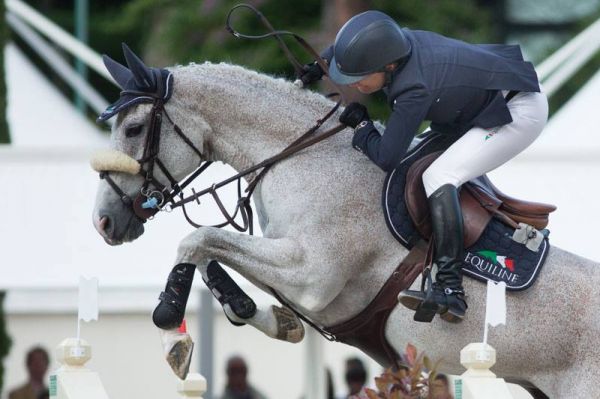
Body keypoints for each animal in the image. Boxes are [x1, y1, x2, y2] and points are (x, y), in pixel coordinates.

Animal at [91, 54, 596, 398]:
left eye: (133, 129)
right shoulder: (291, 265)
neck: (300, 156)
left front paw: (171, 332)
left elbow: (197, 239)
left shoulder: (311, 274)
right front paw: (266, 317)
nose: (103, 222)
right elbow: (213, 254)